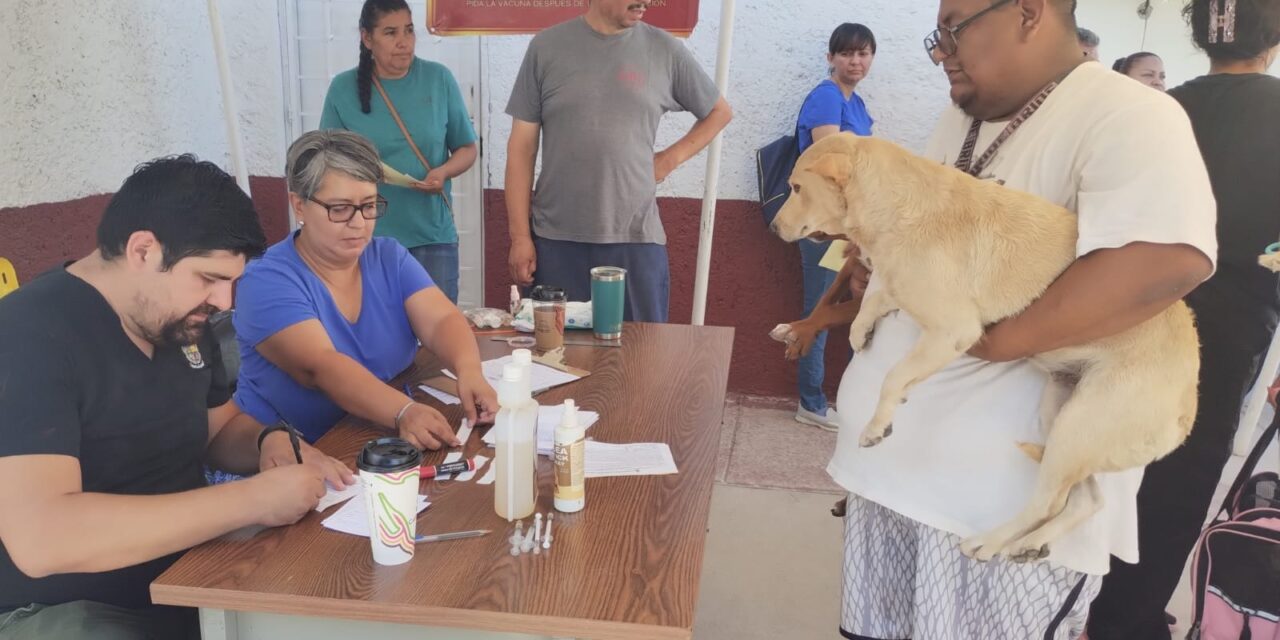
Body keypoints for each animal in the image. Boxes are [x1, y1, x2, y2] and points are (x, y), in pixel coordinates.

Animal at [768, 132, 1198, 563]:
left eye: (797, 188)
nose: (772, 227)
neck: (902, 203)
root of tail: (1187, 408)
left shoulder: (954, 330)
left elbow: (894, 375)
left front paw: (877, 424)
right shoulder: (909, 290)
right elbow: (877, 298)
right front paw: (860, 330)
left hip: (1076, 430)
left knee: (1048, 503)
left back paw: (989, 542)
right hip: (1064, 418)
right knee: (1085, 500)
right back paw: (1029, 543)